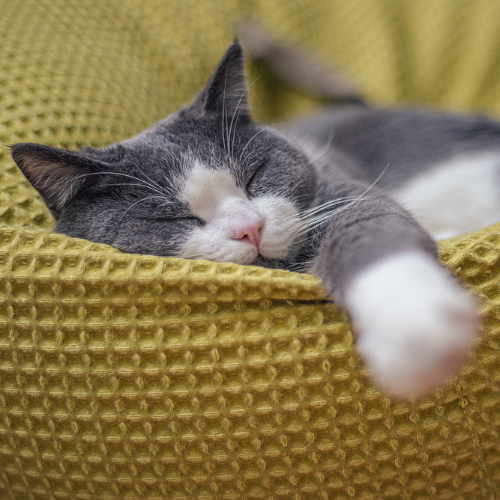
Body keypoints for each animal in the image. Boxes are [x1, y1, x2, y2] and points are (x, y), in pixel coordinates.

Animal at [11, 40, 496, 398]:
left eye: (256, 173)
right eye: (168, 217)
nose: (250, 228)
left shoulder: (340, 192)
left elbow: (368, 226)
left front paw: (413, 326)